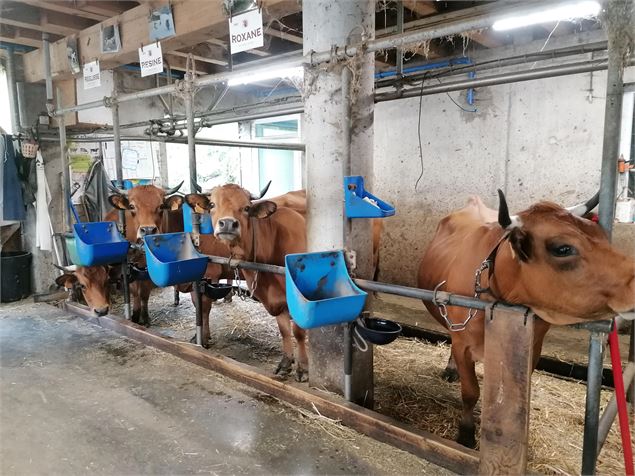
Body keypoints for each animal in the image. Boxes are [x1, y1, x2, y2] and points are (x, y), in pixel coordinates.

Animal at [185, 184, 310, 382]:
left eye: (246, 208)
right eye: (212, 204)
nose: (228, 223)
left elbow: (298, 332)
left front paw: (302, 369)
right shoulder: (275, 299)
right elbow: (284, 330)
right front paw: (285, 363)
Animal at [418, 190, 635, 446]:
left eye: (603, 237)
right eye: (563, 248)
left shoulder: (533, 347)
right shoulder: (463, 344)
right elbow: (470, 392)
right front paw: (466, 434)